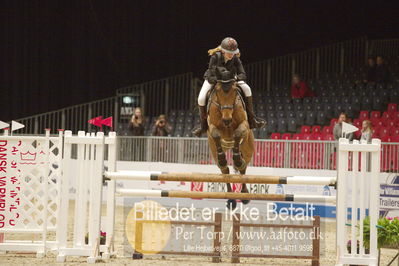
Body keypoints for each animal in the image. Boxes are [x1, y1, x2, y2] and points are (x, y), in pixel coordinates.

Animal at [208, 67, 255, 209]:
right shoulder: (211, 127)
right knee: (224, 170)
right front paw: (224, 159)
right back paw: (230, 199)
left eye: (234, 90)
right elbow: (216, 134)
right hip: (214, 150)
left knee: (243, 168)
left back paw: (244, 195)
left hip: (248, 148)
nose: (227, 119)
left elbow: (238, 133)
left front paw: (237, 160)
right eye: (218, 91)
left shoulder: (244, 125)